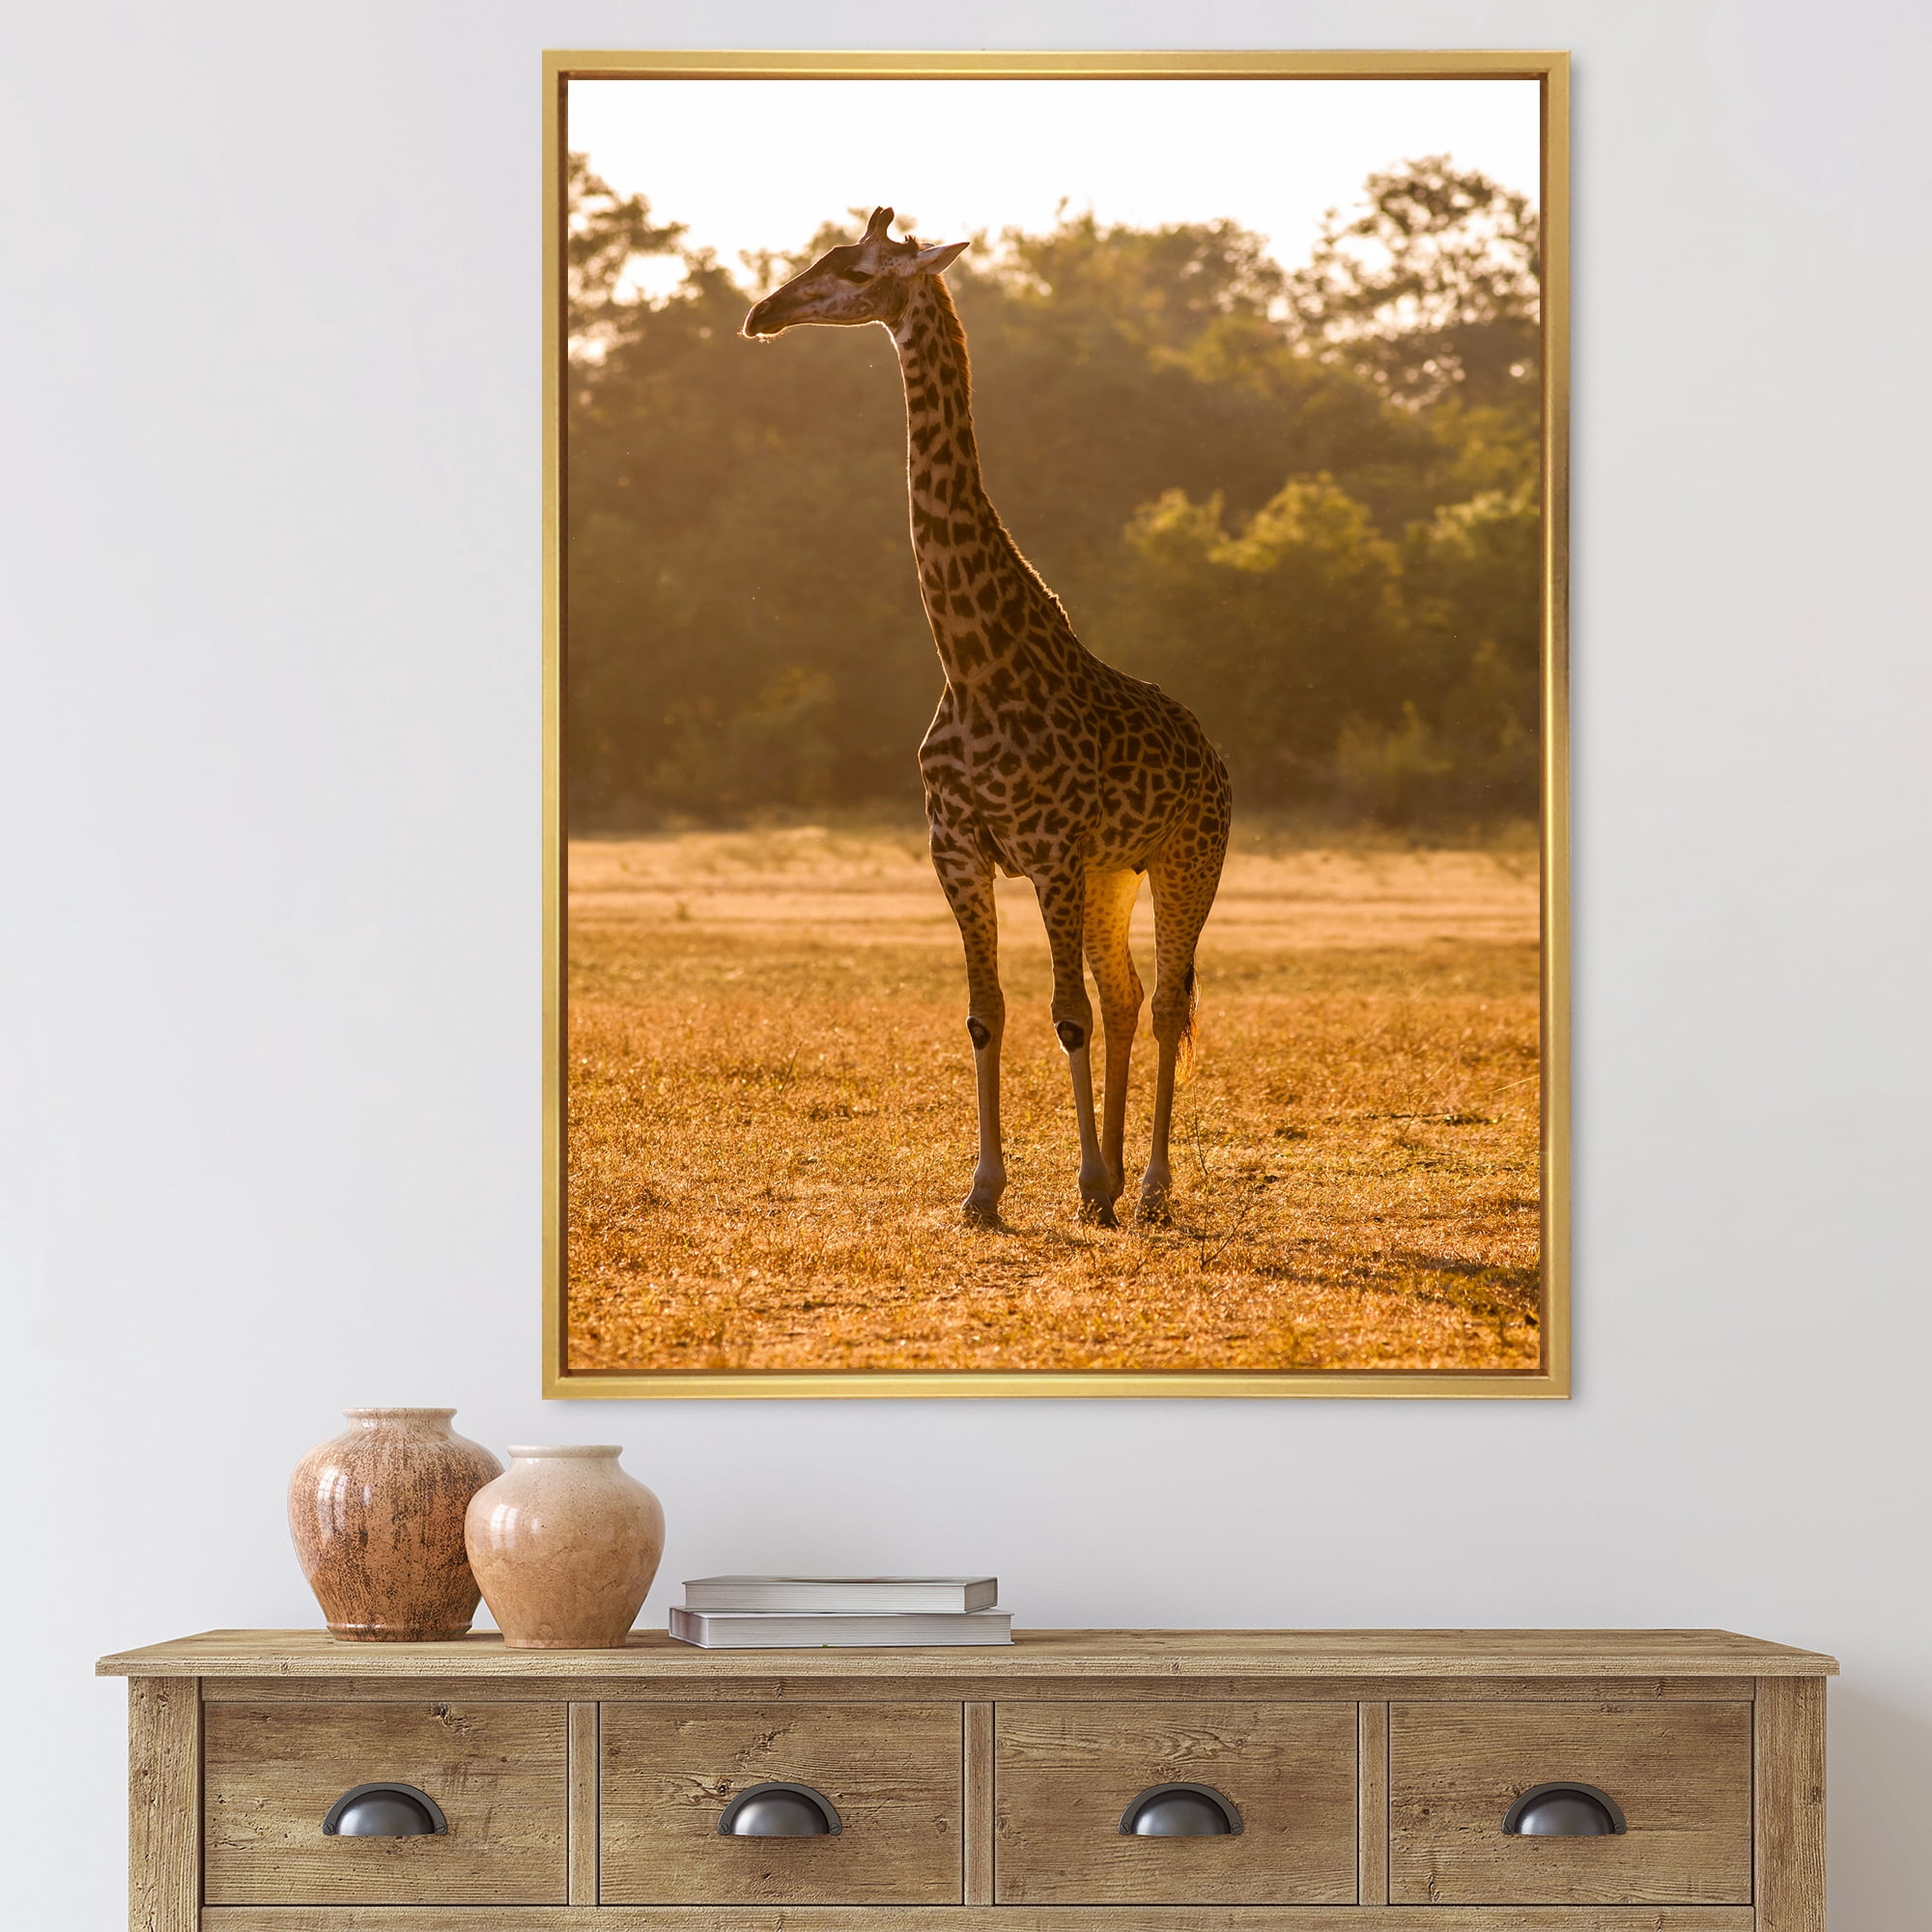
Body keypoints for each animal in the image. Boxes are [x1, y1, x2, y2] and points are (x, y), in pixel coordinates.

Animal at [743, 207, 1231, 1228]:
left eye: (856, 269)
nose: (763, 313)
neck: (972, 664)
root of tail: (1215, 755)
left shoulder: (1046, 850)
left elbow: (1062, 1016)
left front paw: (1084, 1184)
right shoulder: (960, 850)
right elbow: (989, 1013)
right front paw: (988, 1190)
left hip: (1186, 857)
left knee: (1166, 1001)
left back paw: (1148, 1188)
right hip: (1111, 874)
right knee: (1125, 996)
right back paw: (1117, 1176)